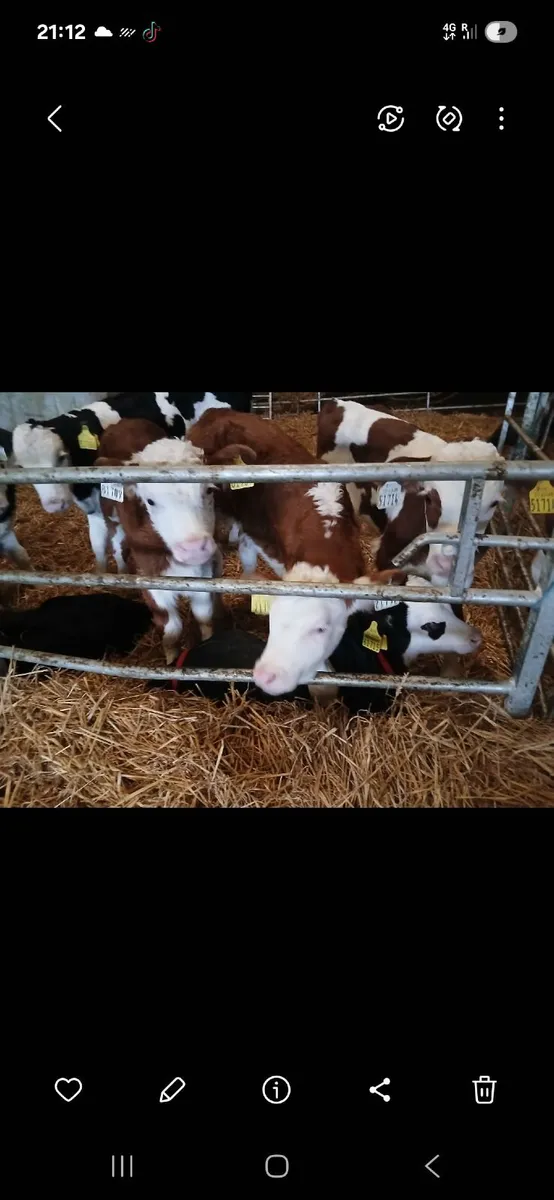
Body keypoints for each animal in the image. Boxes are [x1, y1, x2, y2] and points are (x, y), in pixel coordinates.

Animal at [96, 418, 245, 663]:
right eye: (150, 501)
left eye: (209, 491)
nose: (194, 549)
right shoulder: (151, 577)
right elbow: (171, 628)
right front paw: (170, 659)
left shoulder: (202, 572)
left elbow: (204, 616)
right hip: (111, 514)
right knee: (117, 543)